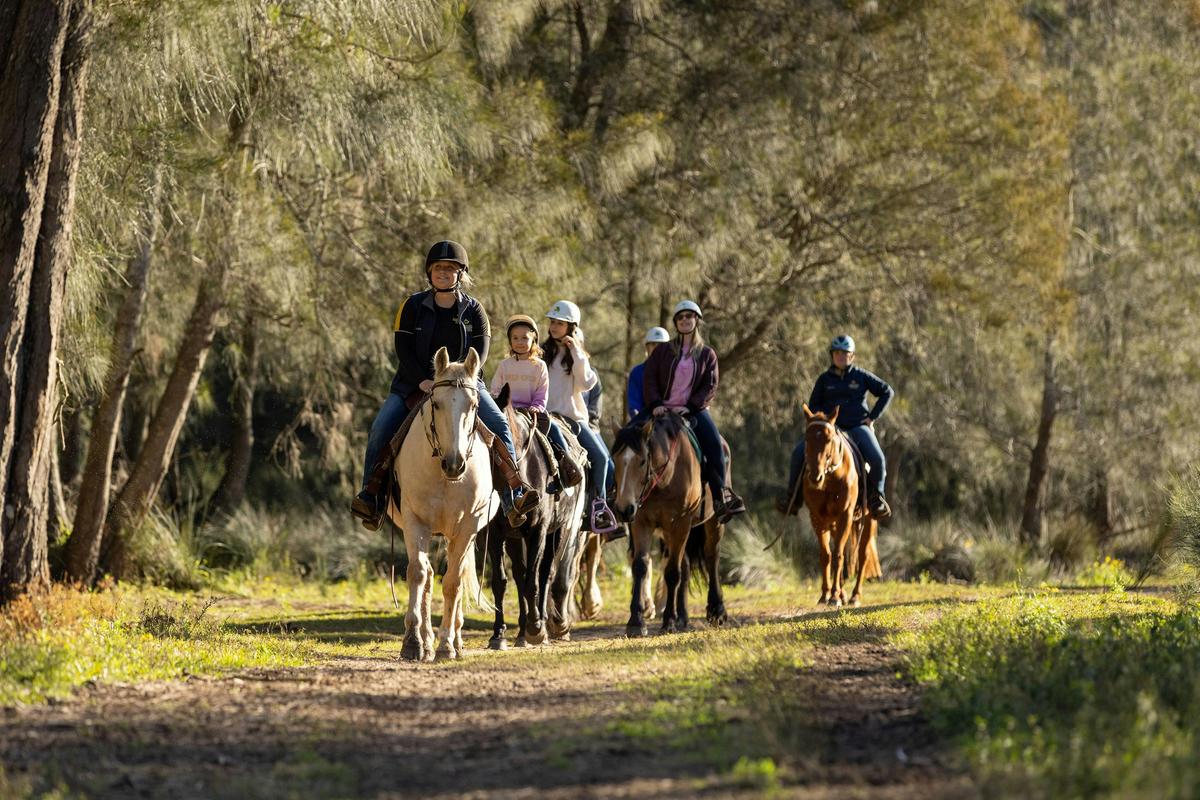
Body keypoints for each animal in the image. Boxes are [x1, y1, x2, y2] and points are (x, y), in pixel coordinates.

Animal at [390, 347, 496, 662]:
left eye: (473, 405)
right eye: (435, 404)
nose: (455, 463)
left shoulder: (468, 525)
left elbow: (453, 583)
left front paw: (446, 644)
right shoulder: (414, 520)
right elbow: (418, 574)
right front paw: (413, 643)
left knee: (453, 577)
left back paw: (456, 642)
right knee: (427, 576)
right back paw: (425, 641)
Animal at [483, 395, 587, 649]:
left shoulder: (538, 531)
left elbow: (534, 580)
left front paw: (536, 627)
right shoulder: (496, 533)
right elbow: (501, 581)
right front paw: (498, 634)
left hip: (559, 532)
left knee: (545, 574)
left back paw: (540, 625)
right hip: (514, 537)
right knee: (521, 576)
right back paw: (522, 632)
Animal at [612, 412, 728, 636]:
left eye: (642, 461)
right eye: (615, 459)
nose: (623, 509)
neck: (666, 476)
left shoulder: (680, 523)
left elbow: (672, 572)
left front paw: (668, 621)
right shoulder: (642, 522)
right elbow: (640, 566)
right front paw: (636, 622)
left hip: (712, 522)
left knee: (712, 557)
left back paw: (716, 611)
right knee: (686, 565)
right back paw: (683, 616)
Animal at [801, 404, 882, 608]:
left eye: (829, 439)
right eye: (806, 438)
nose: (815, 477)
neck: (831, 479)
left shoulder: (845, 515)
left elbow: (838, 554)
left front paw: (835, 597)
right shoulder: (817, 518)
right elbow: (826, 555)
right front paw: (825, 595)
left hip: (868, 520)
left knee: (862, 555)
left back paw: (854, 596)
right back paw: (843, 593)